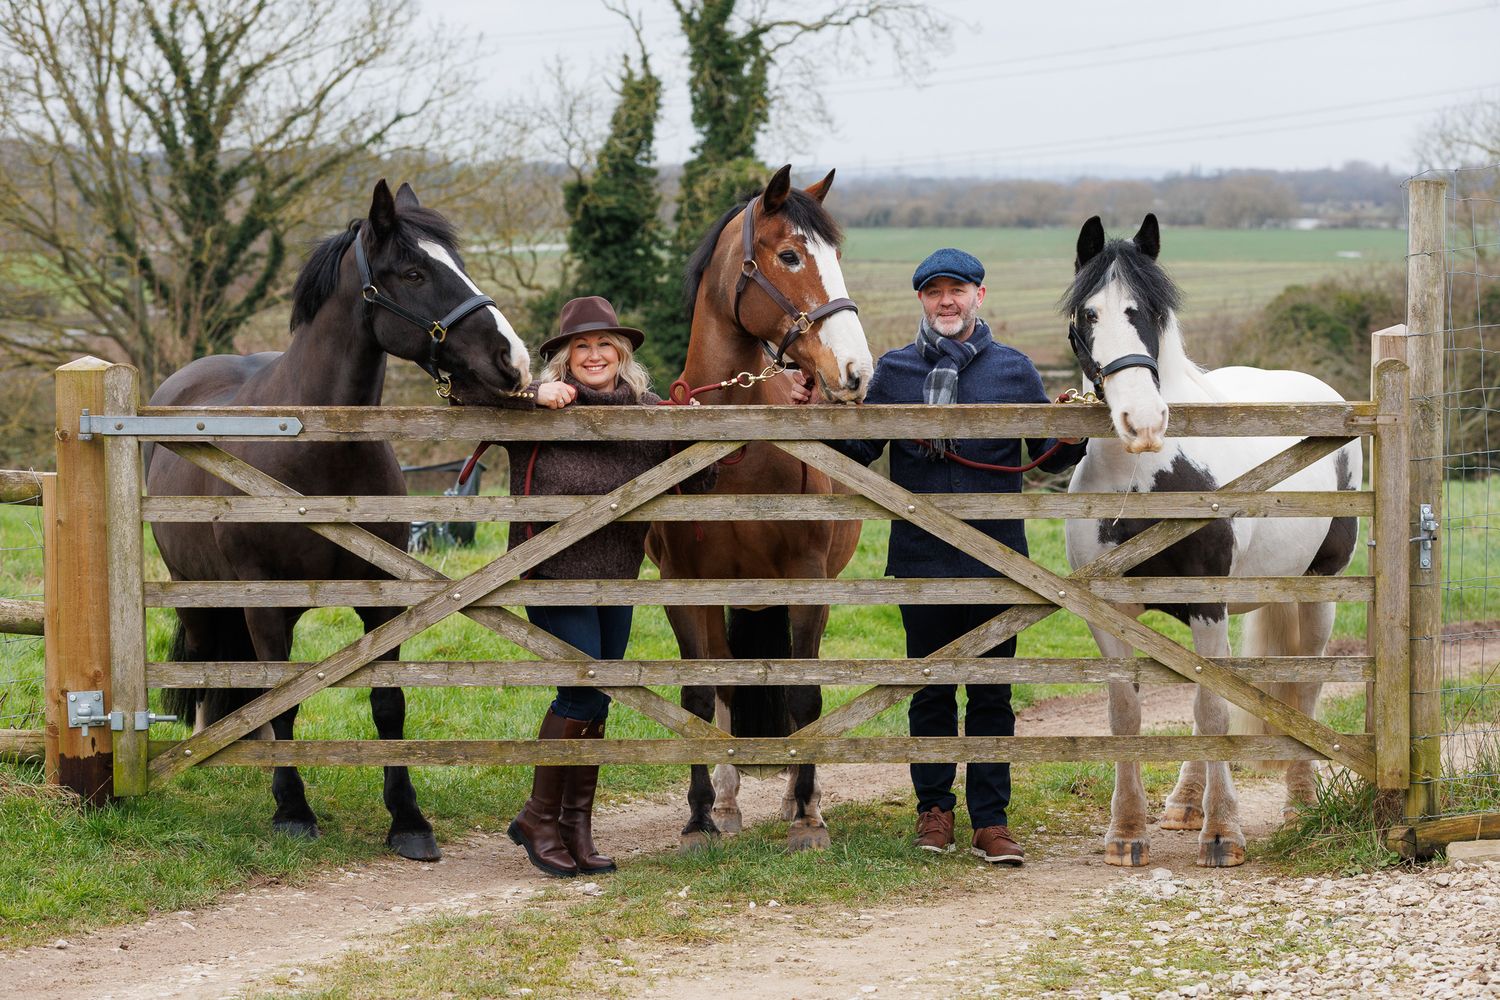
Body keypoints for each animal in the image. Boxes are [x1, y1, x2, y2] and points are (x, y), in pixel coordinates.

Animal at [149, 180, 530, 861]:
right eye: (413, 271)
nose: (513, 359)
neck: (317, 451)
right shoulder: (264, 603)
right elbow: (284, 705)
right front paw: (292, 810)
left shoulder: (380, 598)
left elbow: (388, 704)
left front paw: (408, 819)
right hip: (197, 594)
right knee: (209, 666)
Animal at [645, 164, 874, 852]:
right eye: (791, 255)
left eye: (836, 256)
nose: (855, 370)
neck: (737, 454)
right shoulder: (686, 587)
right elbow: (701, 698)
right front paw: (700, 817)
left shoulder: (806, 580)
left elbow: (803, 698)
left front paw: (806, 818)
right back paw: (725, 803)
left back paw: (805, 799)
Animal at [1061, 214, 1360, 868]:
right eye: (1089, 314)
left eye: (1150, 311)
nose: (1143, 422)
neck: (1142, 476)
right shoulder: (1109, 612)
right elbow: (1129, 713)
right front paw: (1128, 832)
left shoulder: (1207, 602)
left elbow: (1214, 708)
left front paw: (1223, 833)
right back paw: (1183, 803)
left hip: (1315, 592)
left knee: (1302, 687)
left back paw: (1300, 800)